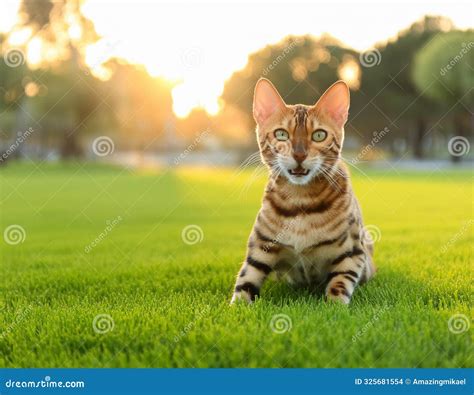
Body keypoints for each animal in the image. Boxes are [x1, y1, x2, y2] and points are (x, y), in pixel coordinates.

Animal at [231, 78, 376, 306]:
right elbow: (244, 283)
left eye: (319, 135)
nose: (299, 154)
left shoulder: (352, 253)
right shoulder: (260, 249)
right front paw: (236, 307)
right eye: (281, 134)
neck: (300, 200)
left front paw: (334, 308)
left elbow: (340, 283)